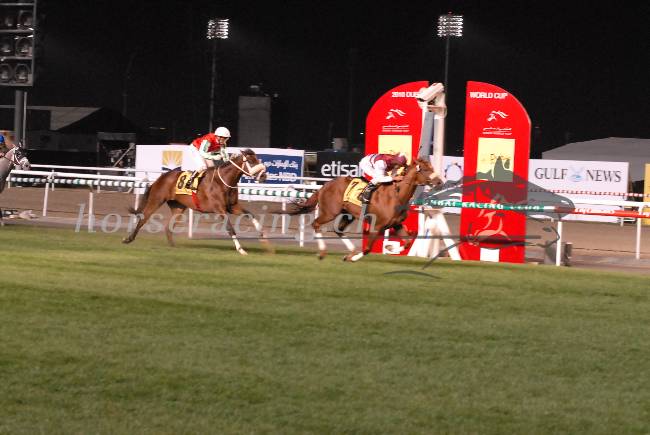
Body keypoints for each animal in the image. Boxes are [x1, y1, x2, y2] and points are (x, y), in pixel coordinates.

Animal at [123, 149, 271, 255]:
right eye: (251, 161)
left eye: (258, 159)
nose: (264, 175)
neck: (224, 180)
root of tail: (161, 177)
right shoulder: (219, 209)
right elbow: (230, 228)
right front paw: (241, 249)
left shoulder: (232, 207)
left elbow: (250, 214)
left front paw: (262, 234)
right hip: (156, 200)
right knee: (143, 219)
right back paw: (128, 239)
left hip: (178, 208)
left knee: (168, 226)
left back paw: (172, 246)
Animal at [290, 157, 443, 261]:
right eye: (426, 169)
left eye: (432, 168)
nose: (440, 182)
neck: (397, 195)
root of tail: (325, 186)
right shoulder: (377, 226)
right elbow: (368, 248)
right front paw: (354, 258)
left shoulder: (397, 224)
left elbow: (407, 243)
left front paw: (389, 247)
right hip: (330, 212)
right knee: (316, 224)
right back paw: (323, 252)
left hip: (348, 214)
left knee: (338, 229)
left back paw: (351, 251)